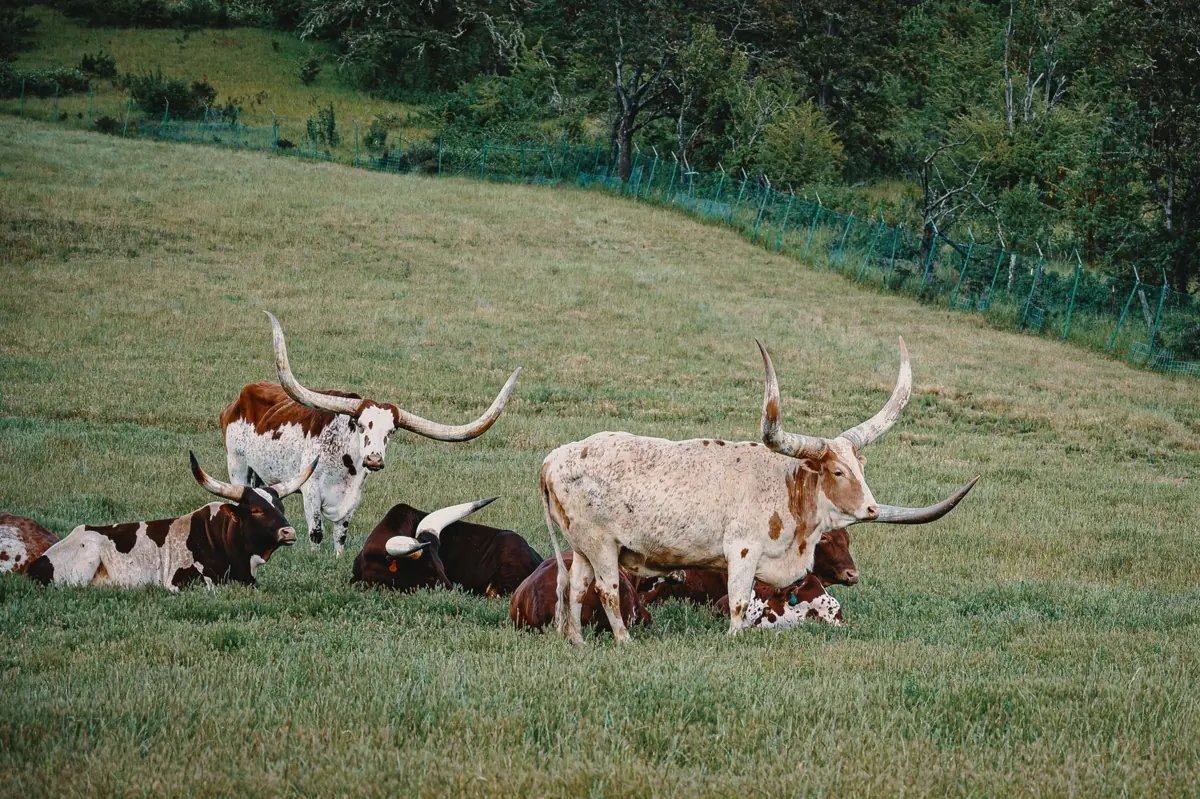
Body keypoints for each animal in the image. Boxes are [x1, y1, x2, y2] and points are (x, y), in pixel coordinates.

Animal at [220, 312, 520, 555]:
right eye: (361, 425)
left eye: (392, 431)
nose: (374, 459)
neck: (342, 461)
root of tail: (240, 397)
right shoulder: (311, 492)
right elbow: (316, 534)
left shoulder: (352, 500)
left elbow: (340, 537)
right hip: (237, 464)